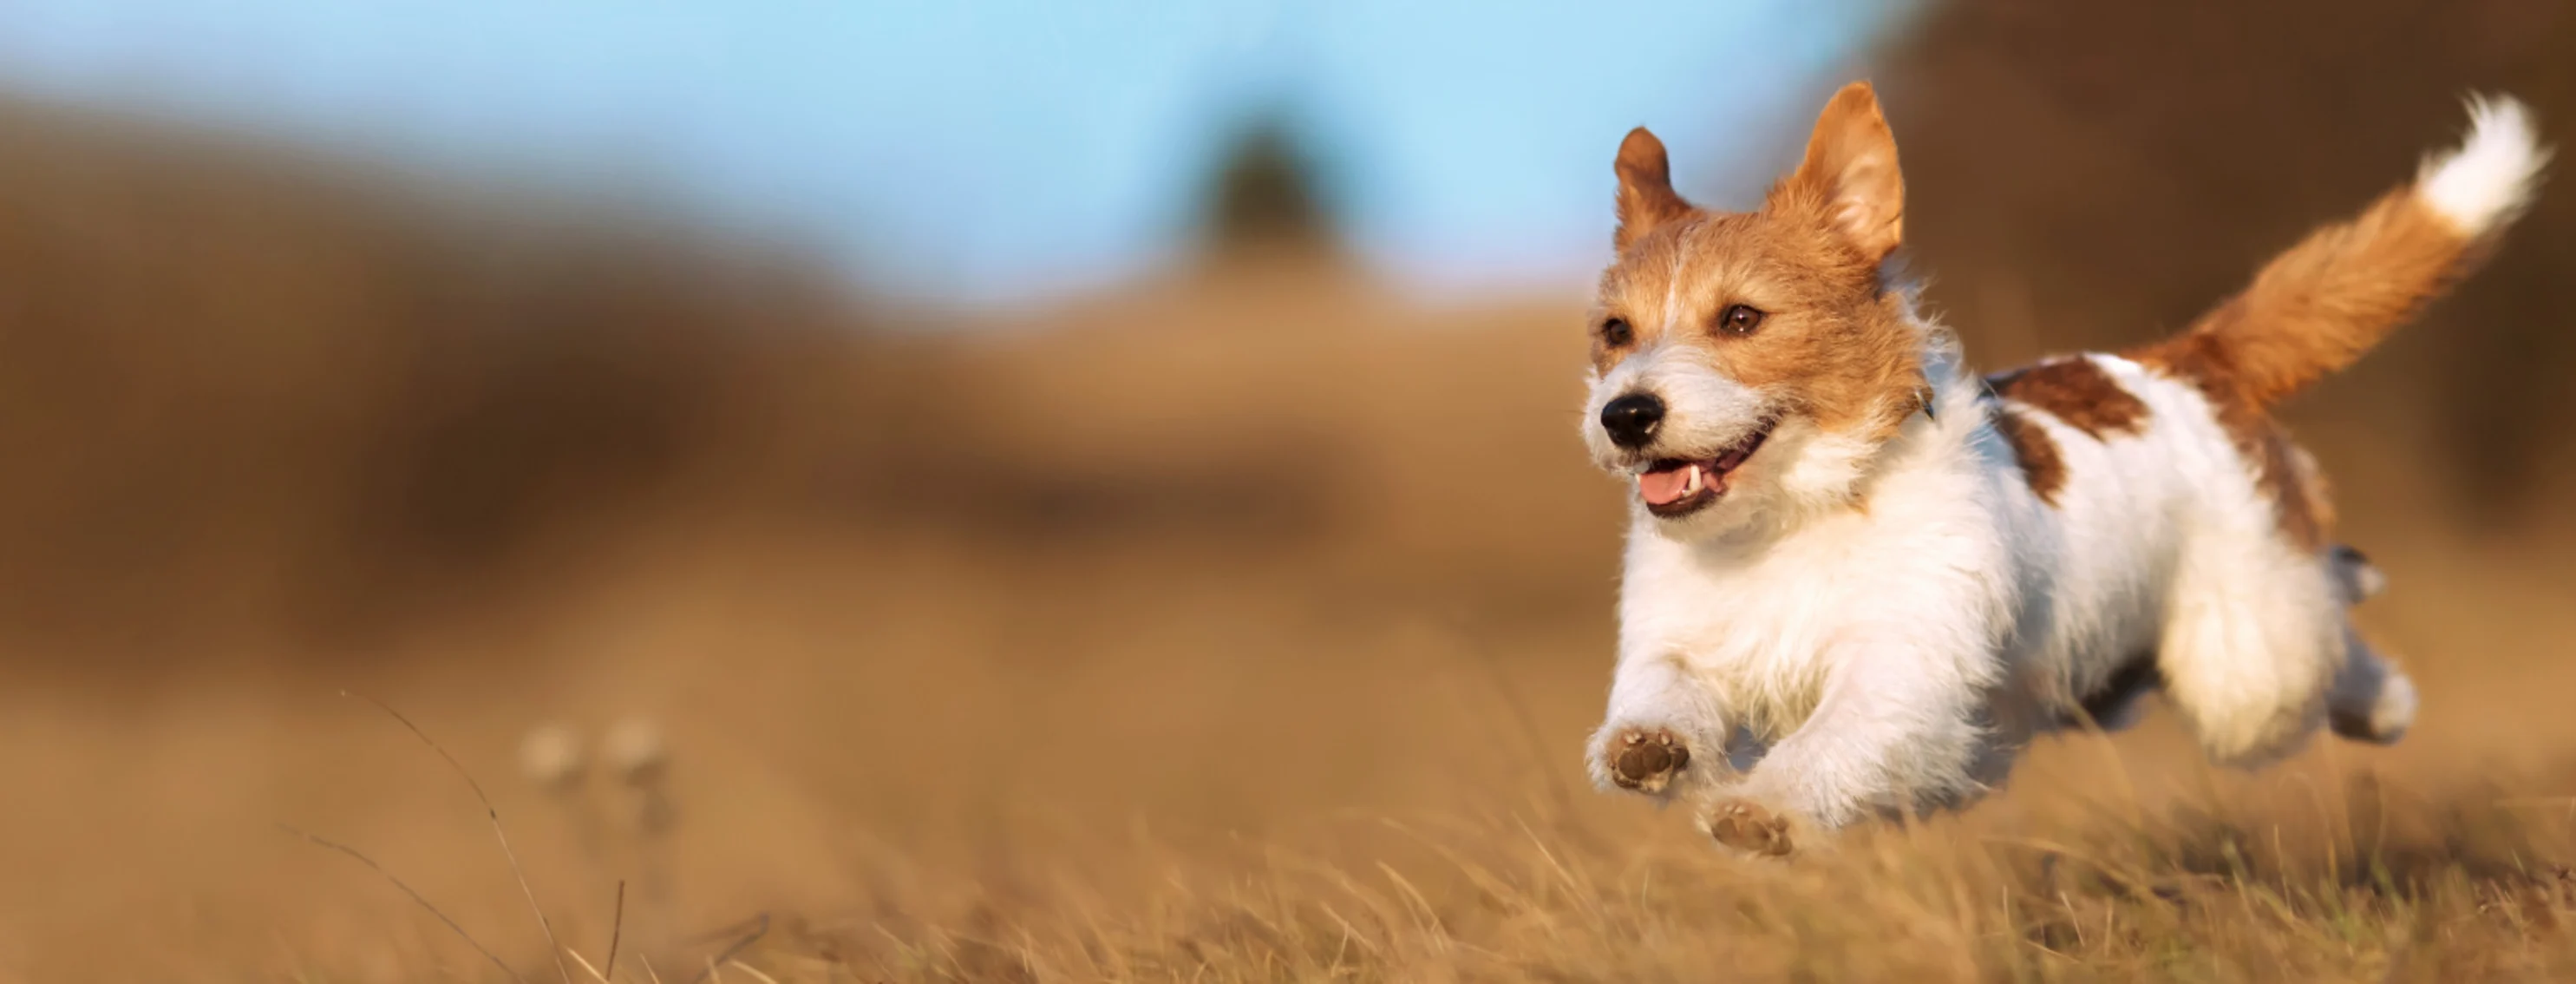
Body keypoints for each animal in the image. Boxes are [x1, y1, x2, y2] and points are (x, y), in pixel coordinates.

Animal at [1576, 81, 2545, 855]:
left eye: (1741, 319)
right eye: (1615, 332)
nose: (1627, 415)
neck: (1792, 516)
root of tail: (2186, 358)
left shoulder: (1903, 666)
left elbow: (1836, 736)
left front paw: (1765, 809)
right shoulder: (1683, 639)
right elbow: (1663, 690)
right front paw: (1649, 745)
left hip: (2246, 670)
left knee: (2327, 630)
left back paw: (2384, 700)